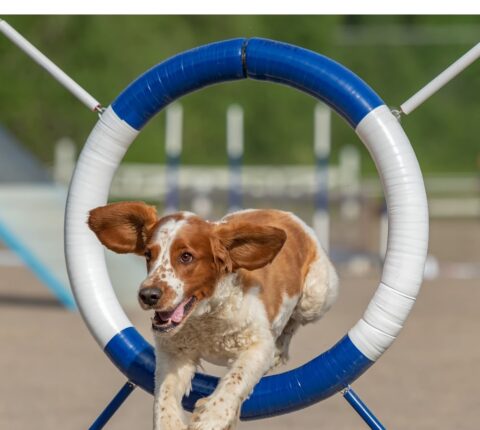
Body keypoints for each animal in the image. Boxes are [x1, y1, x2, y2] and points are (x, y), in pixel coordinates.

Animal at [89, 202, 338, 430]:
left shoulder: (257, 345)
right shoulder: (173, 353)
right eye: (149, 254)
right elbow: (165, 392)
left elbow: (237, 377)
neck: (206, 316)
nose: (148, 295)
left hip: (315, 297)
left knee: (294, 322)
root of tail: (285, 214)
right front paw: (170, 422)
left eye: (186, 256)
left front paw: (211, 416)